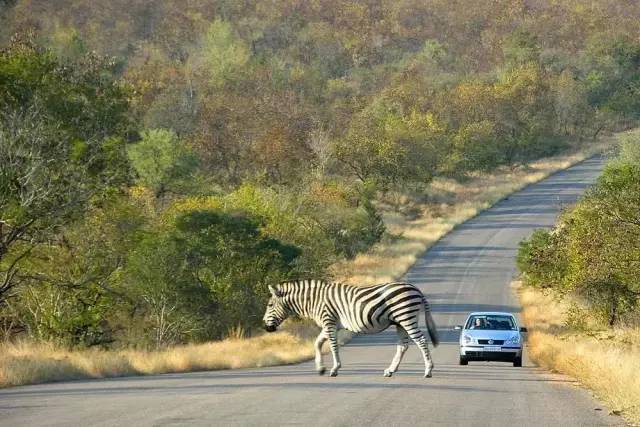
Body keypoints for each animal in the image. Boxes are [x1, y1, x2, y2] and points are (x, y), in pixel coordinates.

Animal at [262, 280, 438, 378]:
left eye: (270, 305)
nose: (265, 327)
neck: (314, 301)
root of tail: (415, 289)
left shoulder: (329, 322)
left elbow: (333, 346)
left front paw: (334, 369)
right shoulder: (328, 325)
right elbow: (317, 343)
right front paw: (320, 368)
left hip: (406, 317)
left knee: (421, 341)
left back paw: (428, 371)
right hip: (400, 322)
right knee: (403, 346)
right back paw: (390, 371)